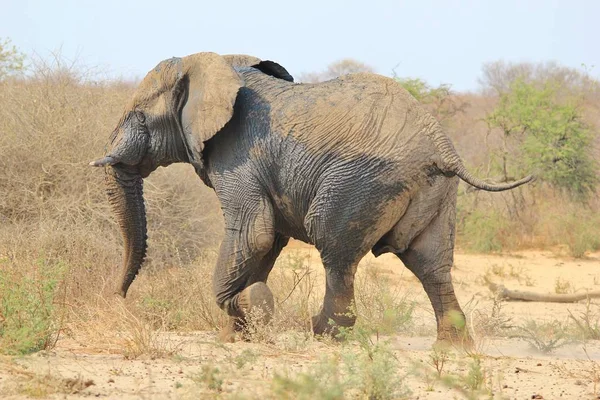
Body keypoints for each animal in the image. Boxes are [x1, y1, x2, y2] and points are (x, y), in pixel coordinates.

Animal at [91, 50, 532, 344]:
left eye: (139, 114)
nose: (119, 301)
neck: (218, 64)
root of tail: (443, 147)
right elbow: (268, 240)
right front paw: (236, 335)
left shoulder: (238, 156)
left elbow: (254, 233)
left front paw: (251, 304)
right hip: (437, 194)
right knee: (431, 262)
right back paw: (452, 349)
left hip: (362, 182)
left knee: (336, 250)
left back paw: (323, 334)